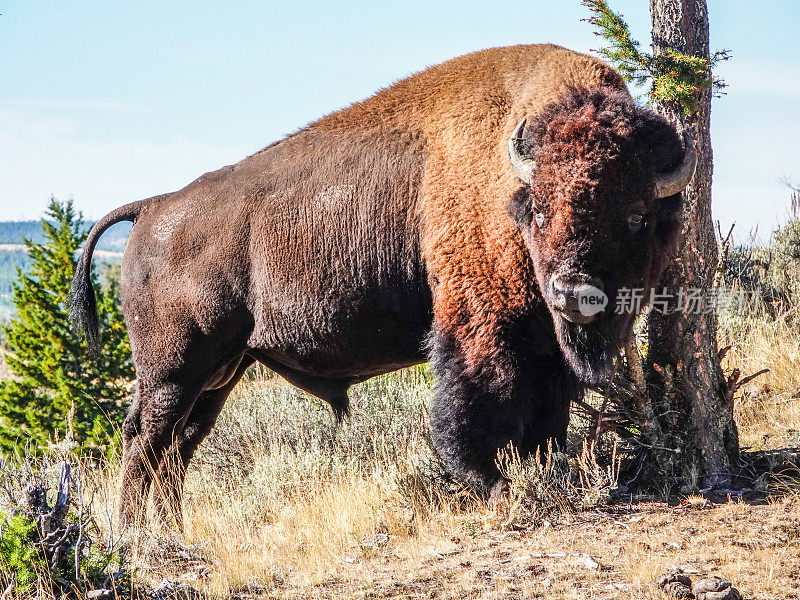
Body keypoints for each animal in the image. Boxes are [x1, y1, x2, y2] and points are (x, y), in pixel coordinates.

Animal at [70, 43, 692, 524]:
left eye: (637, 214)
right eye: (538, 210)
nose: (574, 293)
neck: (507, 177)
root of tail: (154, 207)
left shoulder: (547, 344)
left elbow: (546, 415)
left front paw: (539, 471)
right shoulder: (477, 326)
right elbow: (477, 401)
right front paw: (494, 485)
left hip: (220, 371)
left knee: (177, 450)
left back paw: (168, 533)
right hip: (173, 370)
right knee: (143, 443)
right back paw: (133, 536)